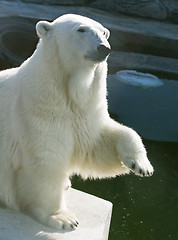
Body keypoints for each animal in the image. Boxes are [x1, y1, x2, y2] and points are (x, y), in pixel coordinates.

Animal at [0, 13, 153, 231]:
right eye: (81, 29)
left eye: (103, 32)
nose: (104, 48)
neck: (64, 93)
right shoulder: (38, 110)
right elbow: (46, 162)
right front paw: (63, 218)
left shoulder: (85, 110)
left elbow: (97, 142)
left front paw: (141, 165)